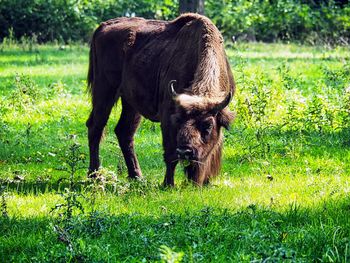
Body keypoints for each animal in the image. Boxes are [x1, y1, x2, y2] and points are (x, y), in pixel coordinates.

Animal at [86, 13, 237, 187]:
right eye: (178, 121)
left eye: (208, 125)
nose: (184, 152)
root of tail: (103, 26)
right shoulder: (167, 117)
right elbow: (170, 154)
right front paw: (168, 184)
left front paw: (203, 183)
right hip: (104, 91)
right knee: (96, 127)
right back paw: (95, 176)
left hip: (130, 103)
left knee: (124, 131)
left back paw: (137, 176)